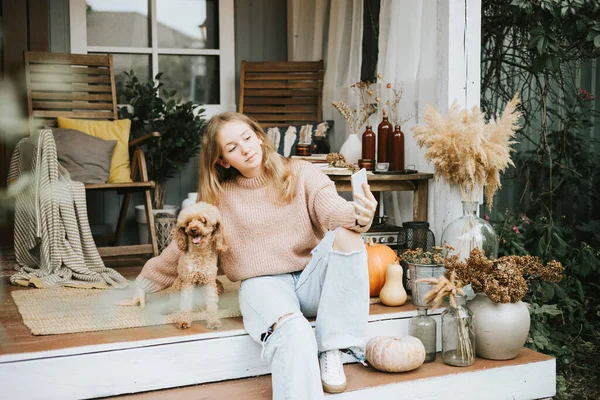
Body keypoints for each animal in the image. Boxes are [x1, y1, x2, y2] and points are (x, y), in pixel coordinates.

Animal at [171, 202, 227, 330]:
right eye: (188, 222)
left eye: (203, 221)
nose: (193, 229)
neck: (200, 253)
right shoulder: (188, 281)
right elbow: (185, 303)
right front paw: (184, 321)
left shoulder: (210, 282)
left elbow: (211, 304)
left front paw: (213, 321)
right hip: (178, 284)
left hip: (218, 285)